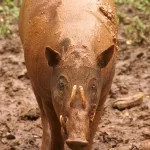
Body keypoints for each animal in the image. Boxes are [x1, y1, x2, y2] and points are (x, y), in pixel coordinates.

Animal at [18, 0, 117, 150]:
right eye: (61, 84)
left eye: (94, 85)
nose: (77, 140)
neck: (77, 45)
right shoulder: (46, 94)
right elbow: (55, 130)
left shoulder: (104, 93)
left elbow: (91, 133)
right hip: (34, 82)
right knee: (43, 117)